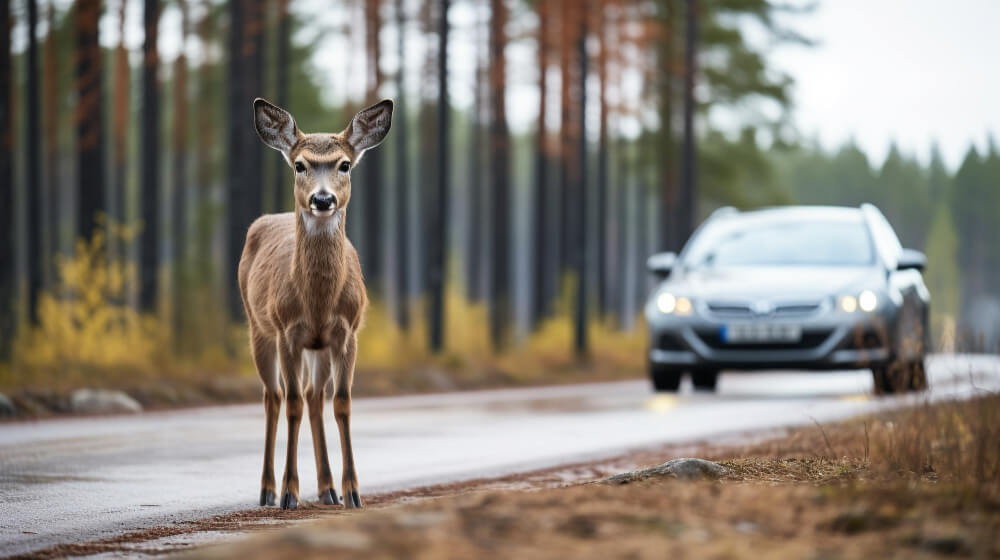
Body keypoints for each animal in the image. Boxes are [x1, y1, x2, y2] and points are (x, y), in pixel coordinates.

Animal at [239, 97, 393, 510]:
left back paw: (327, 489)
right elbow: (291, 403)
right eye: (300, 164)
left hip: (318, 347)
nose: (322, 199)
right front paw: (289, 493)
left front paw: (353, 491)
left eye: (344, 164)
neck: (318, 303)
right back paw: (267, 489)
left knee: (313, 396)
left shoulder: (345, 333)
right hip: (258, 327)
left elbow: (342, 402)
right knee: (274, 397)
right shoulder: (287, 332)